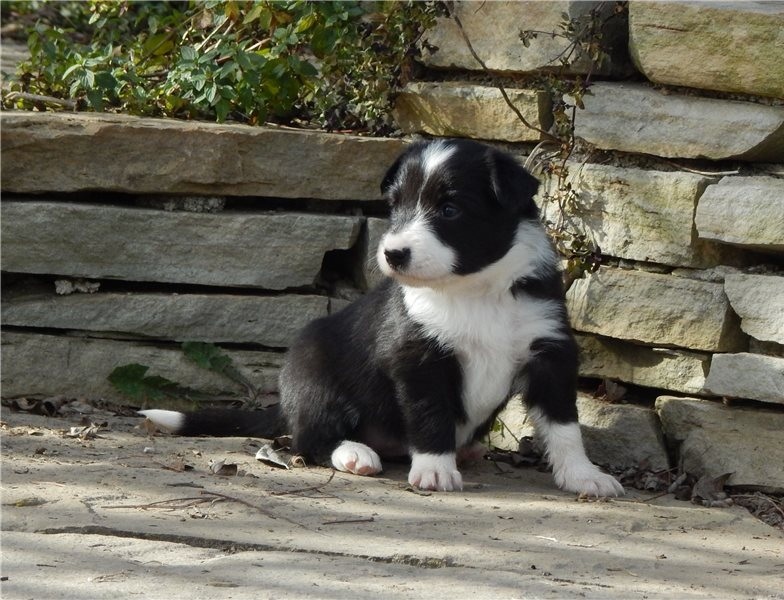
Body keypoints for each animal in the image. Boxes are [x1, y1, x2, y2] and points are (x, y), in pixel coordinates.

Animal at [141, 139, 624, 496]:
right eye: (395, 206)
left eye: (450, 209)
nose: (393, 253)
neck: (474, 289)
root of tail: (286, 404)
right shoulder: (417, 356)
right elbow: (430, 413)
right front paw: (435, 470)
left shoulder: (550, 350)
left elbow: (564, 424)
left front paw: (585, 476)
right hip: (314, 374)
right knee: (309, 440)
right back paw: (355, 454)